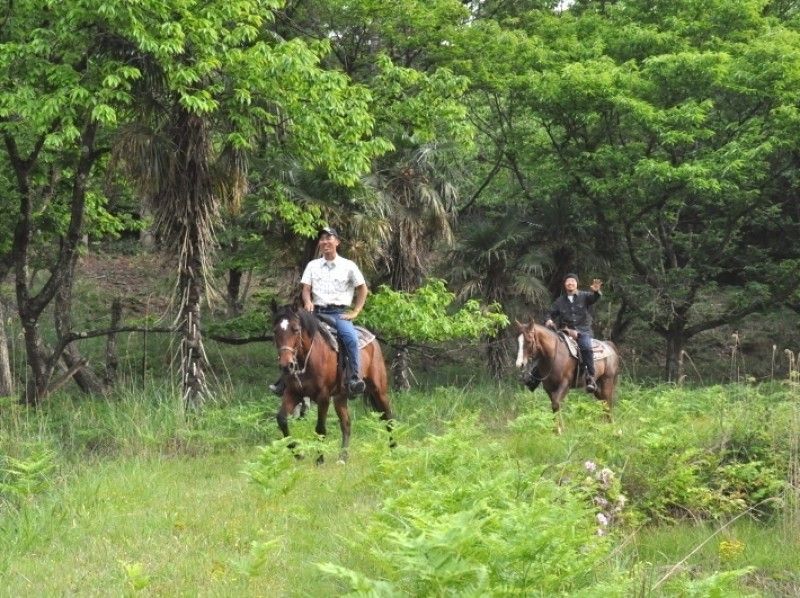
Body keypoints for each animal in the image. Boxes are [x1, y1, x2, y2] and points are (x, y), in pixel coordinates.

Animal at [272, 304, 394, 464]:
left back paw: (394, 450)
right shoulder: (293, 393)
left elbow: (320, 428)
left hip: (379, 390)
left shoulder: (323, 397)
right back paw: (343, 457)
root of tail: (373, 340)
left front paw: (319, 459)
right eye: (275, 331)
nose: (287, 366)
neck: (308, 360)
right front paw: (298, 454)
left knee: (389, 418)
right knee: (346, 424)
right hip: (340, 397)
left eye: (296, 329)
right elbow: (281, 419)